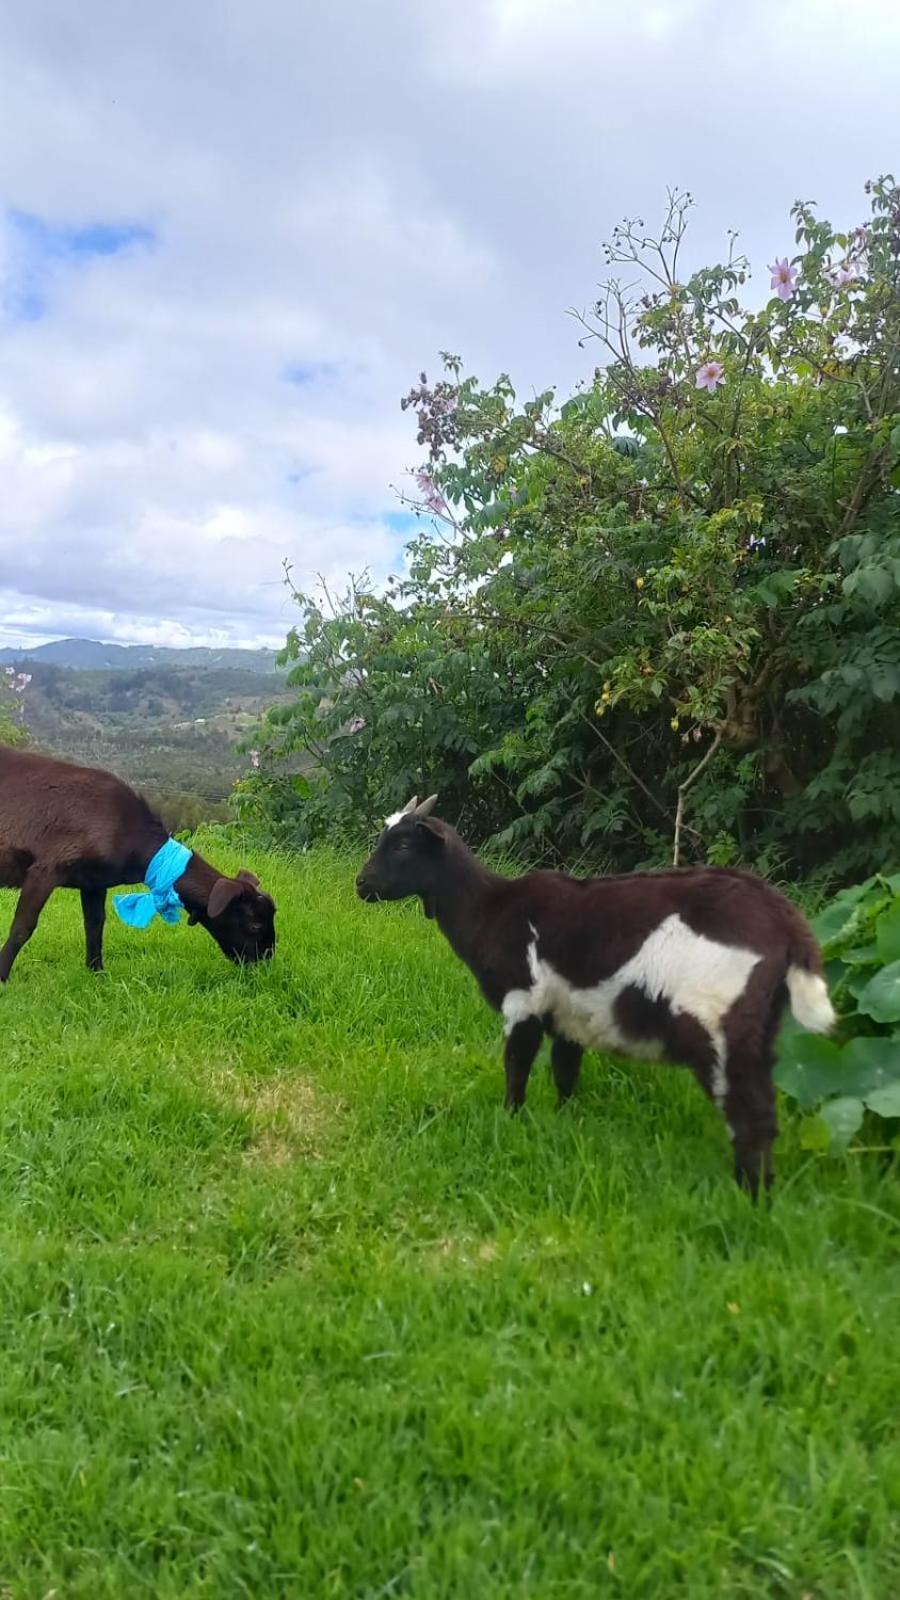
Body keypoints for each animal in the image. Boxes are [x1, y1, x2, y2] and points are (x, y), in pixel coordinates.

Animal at [0, 745, 273, 979]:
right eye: (255, 925)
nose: (265, 960)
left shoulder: (93, 882)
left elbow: (95, 925)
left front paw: (97, 972)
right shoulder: (45, 869)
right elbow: (22, 927)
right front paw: (3, 978)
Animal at [353, 796, 832, 1190]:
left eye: (402, 845)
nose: (361, 884)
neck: (490, 909)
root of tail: (782, 918)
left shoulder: (522, 999)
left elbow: (517, 1066)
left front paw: (511, 1119)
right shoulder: (570, 1014)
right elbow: (565, 1073)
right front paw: (563, 1123)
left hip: (717, 1019)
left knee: (749, 1114)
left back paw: (749, 1197)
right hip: (760, 1027)